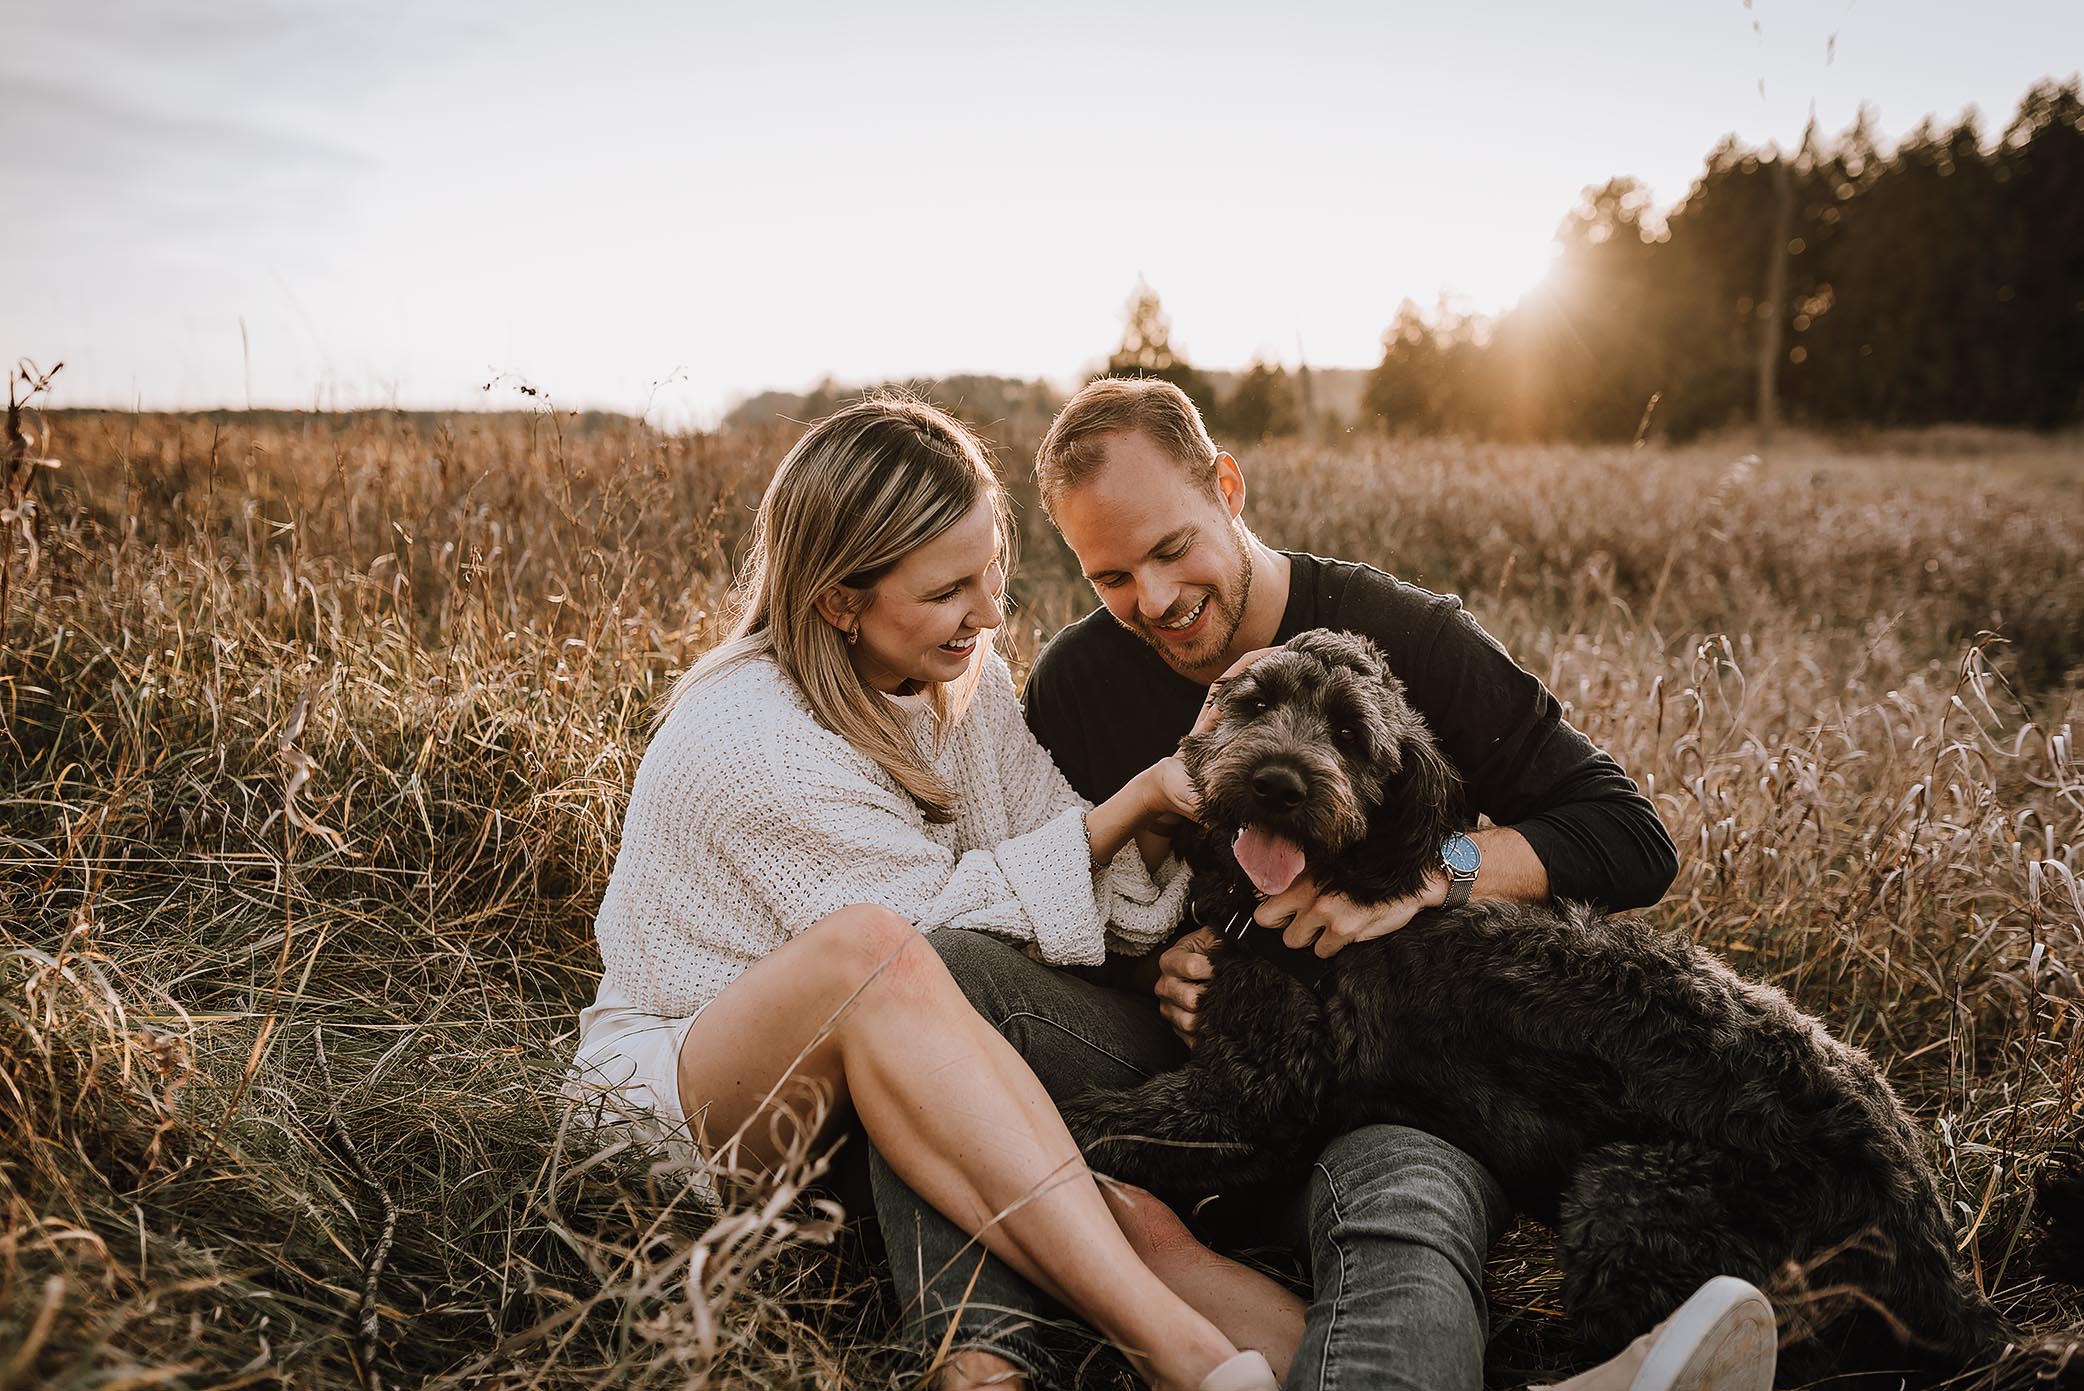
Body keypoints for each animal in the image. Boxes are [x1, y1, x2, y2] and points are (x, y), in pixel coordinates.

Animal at [1067, 633, 2075, 1391]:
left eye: (1351, 735)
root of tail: (1935, 1251)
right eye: (1253, 702)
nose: (1278, 780)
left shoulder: (1246, 1099)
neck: (1330, 883)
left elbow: (1091, 1123)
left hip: (1630, 1198)